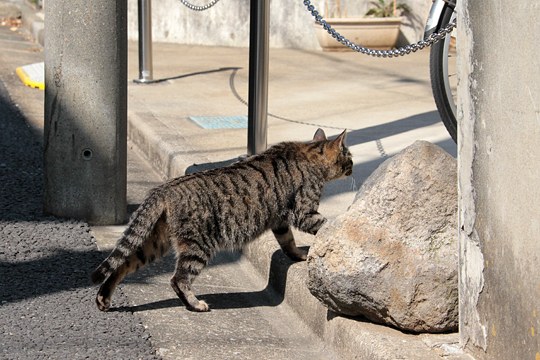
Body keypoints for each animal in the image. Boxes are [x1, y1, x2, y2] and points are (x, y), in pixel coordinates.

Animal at [92, 129, 354, 312]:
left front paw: (299, 255)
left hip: (155, 243)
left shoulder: (280, 222)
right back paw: (195, 304)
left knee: (122, 264)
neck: (310, 153)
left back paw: (104, 298)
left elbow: (288, 242)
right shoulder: (303, 211)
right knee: (178, 279)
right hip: (198, 245)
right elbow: (323, 224)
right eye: (350, 157)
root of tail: (164, 189)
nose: (352, 166)